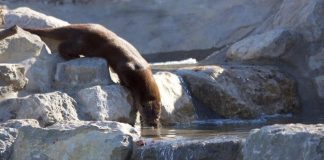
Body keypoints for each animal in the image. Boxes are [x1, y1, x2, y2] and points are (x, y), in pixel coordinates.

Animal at [18, 23, 162, 127]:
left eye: (158, 115)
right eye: (149, 114)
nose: (154, 124)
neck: (141, 71)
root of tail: (76, 27)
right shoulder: (126, 68)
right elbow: (123, 79)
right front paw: (120, 84)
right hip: (81, 42)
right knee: (63, 47)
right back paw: (74, 56)